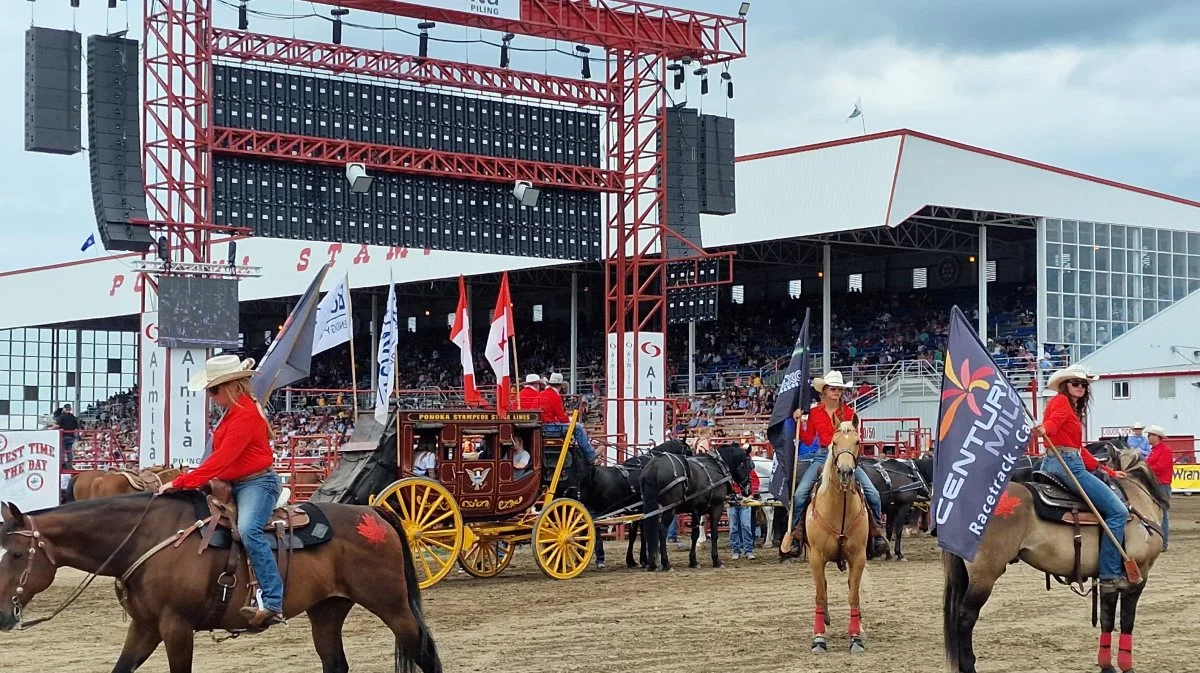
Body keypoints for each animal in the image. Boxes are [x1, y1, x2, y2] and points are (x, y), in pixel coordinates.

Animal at [0, 487, 441, 671]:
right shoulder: (145, 627)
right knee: (335, 663)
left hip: (392, 605)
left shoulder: (176, 627)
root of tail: (373, 512)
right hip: (327, 610)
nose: (4, 616)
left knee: (424, 651)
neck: (146, 537)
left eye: (17, 554)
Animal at [801, 422, 868, 652]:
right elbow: (820, 595)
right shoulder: (816, 557)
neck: (839, 509)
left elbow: (853, 595)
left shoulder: (858, 557)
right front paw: (819, 637)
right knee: (822, 587)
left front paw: (855, 637)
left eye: (857, 441)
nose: (845, 472)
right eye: (834, 442)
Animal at [940, 446, 1166, 671]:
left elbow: (1107, 618)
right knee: (966, 616)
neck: (1137, 500)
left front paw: (1106, 665)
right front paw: (1125, 665)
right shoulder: (1138, 575)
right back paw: (968, 665)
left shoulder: (1109, 579)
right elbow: (1127, 619)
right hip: (984, 574)